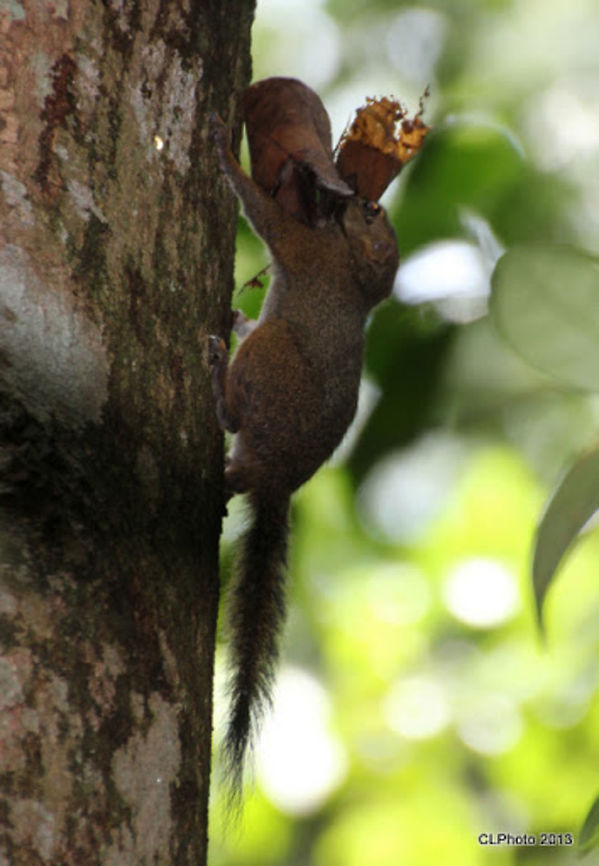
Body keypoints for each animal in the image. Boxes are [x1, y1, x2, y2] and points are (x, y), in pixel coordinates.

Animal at [208, 95, 399, 799]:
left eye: (369, 211)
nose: (351, 191)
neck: (352, 269)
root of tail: (274, 477)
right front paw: (238, 312)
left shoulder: (304, 246)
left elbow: (263, 216)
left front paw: (223, 154)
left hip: (270, 365)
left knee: (240, 405)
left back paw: (219, 376)